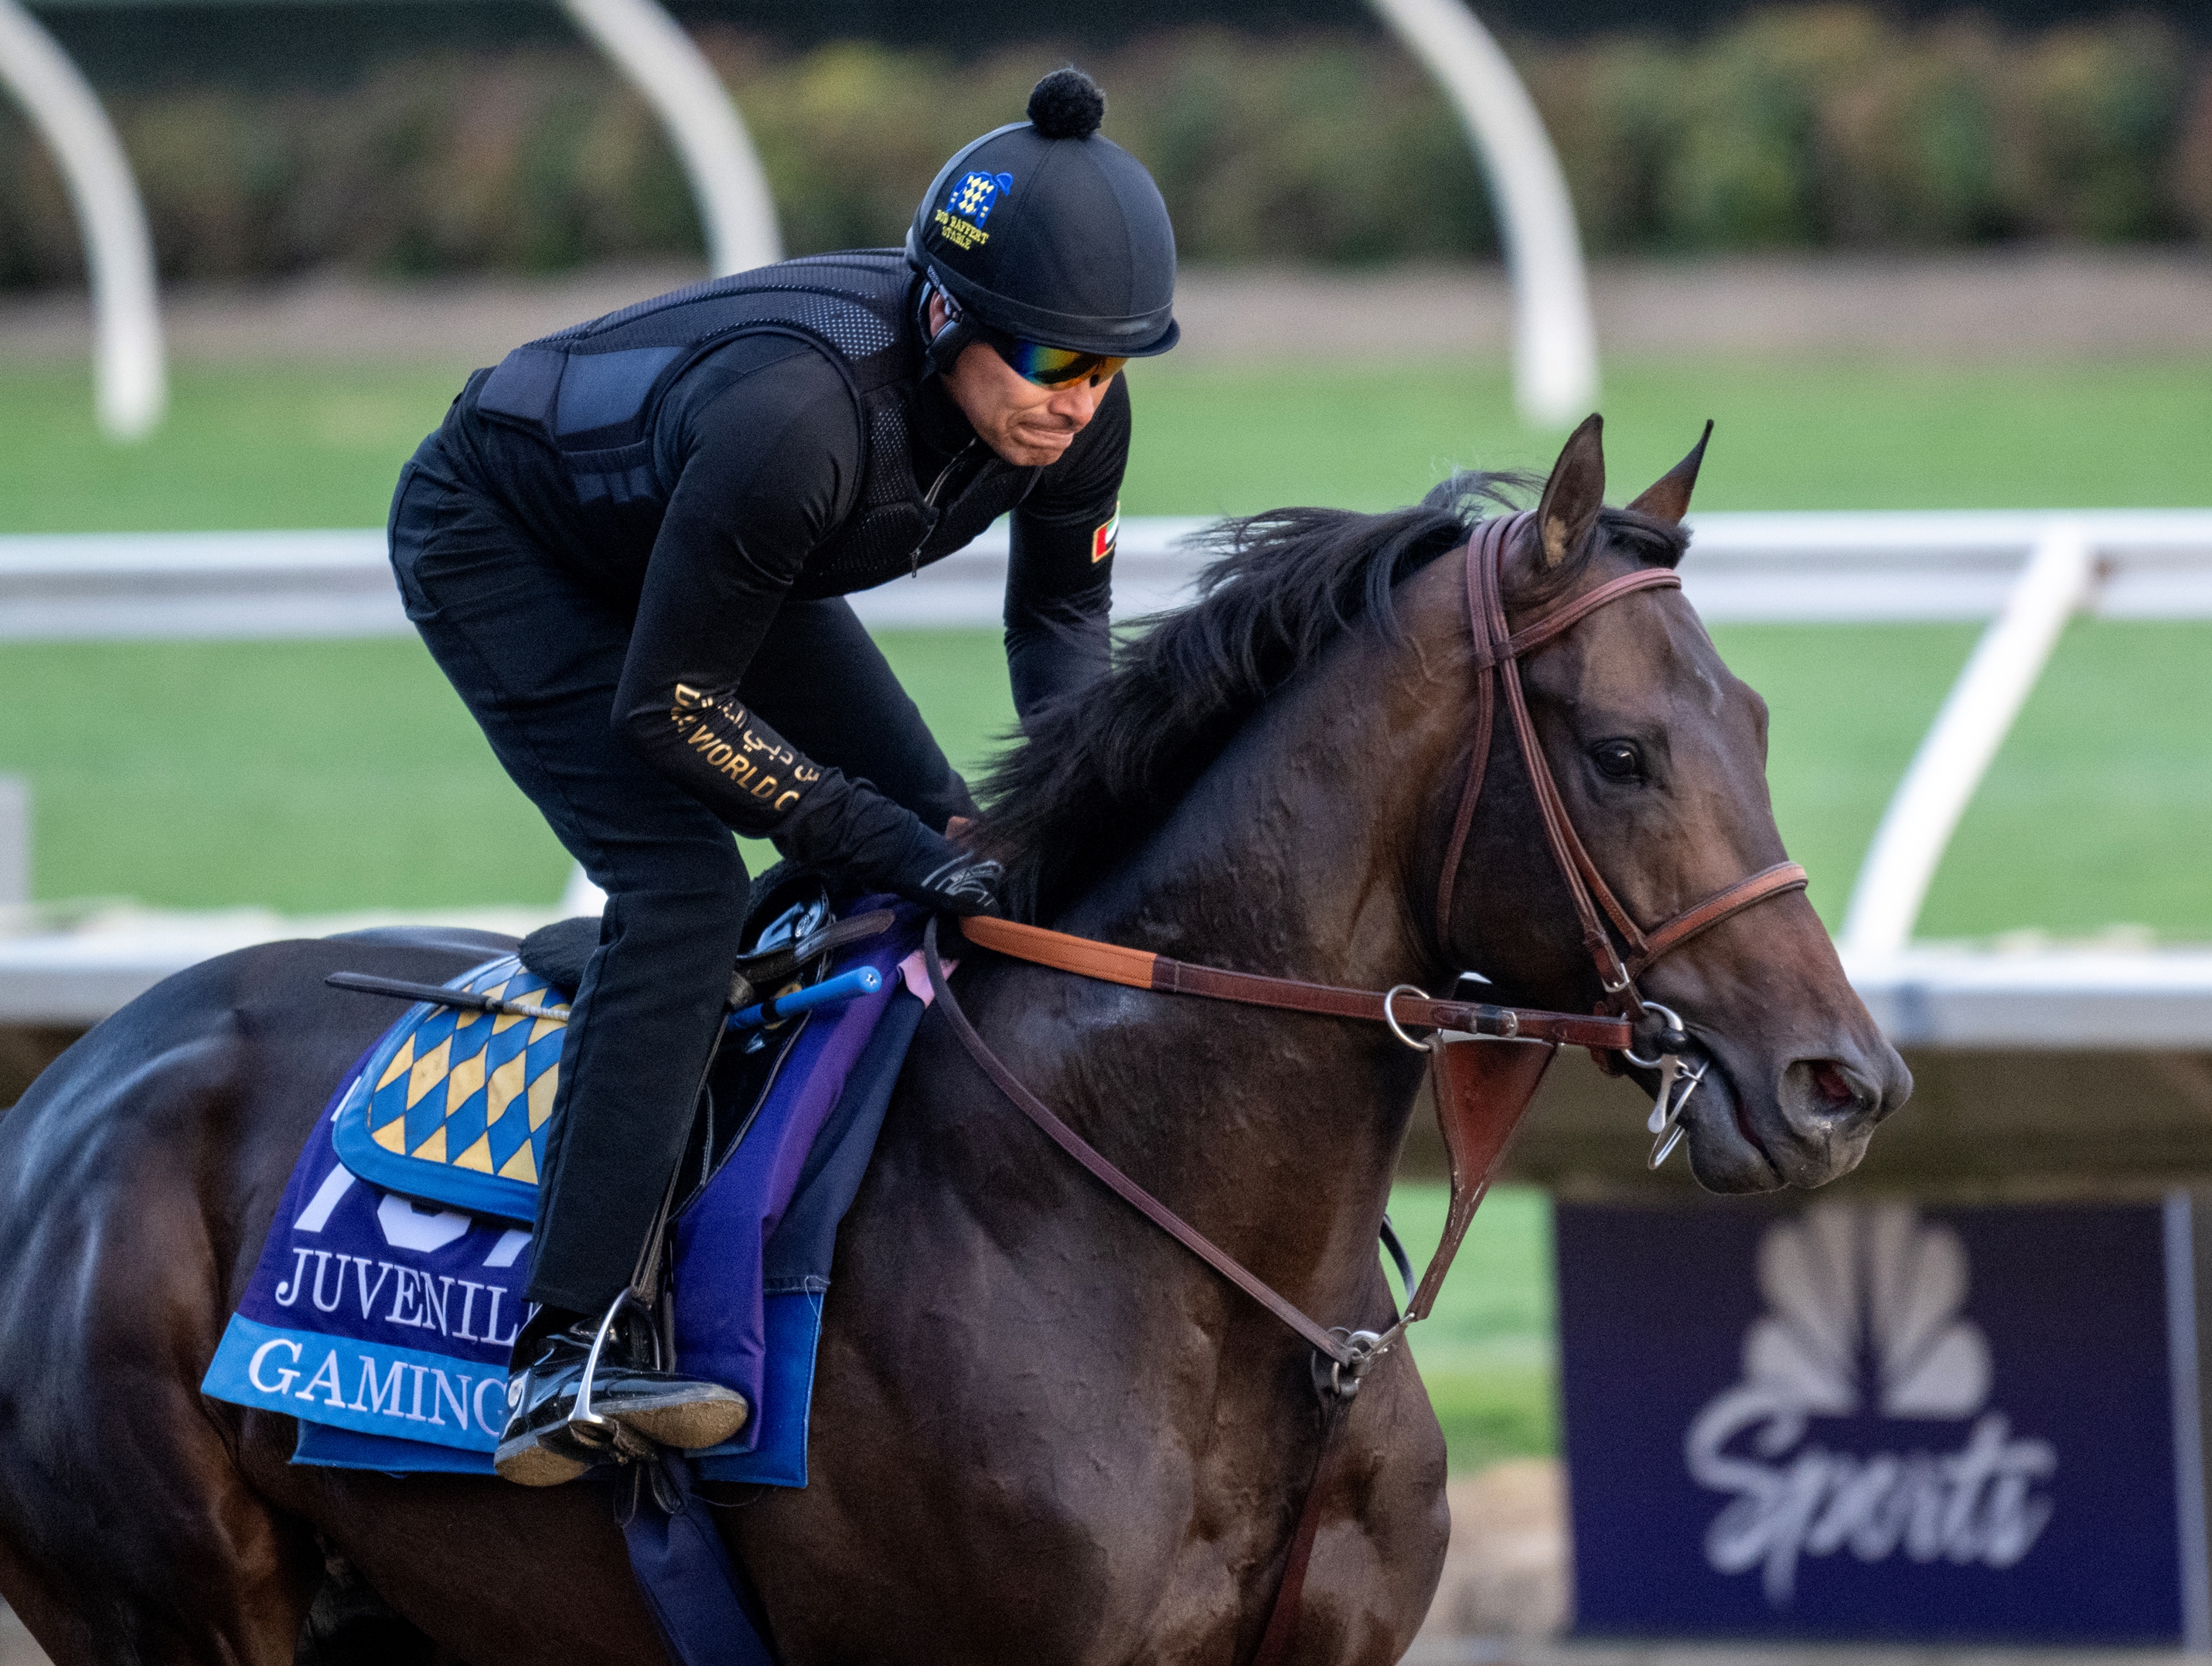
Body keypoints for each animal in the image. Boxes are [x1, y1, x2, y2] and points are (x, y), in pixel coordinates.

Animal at [0, 416, 1910, 1666]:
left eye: (1746, 720)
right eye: (1619, 754)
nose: (1843, 1083)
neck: (1176, 1241)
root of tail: (65, 1096)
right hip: (174, 1612)